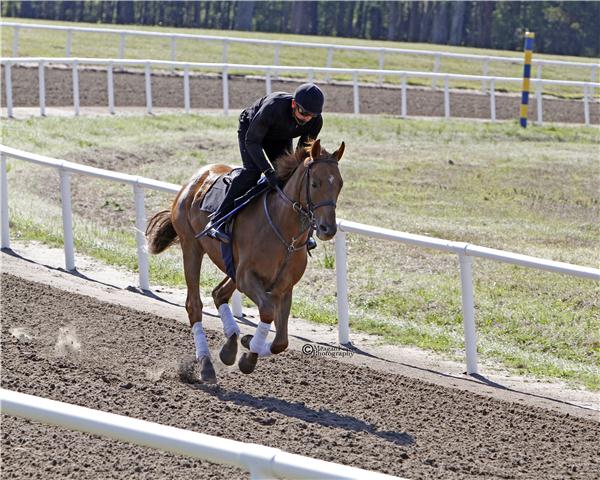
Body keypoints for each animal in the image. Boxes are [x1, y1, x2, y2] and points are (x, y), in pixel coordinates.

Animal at [144, 139, 346, 382]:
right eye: (315, 184)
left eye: (340, 184)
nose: (328, 229)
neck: (285, 234)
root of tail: (194, 179)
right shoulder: (247, 277)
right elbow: (267, 311)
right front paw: (248, 356)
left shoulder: (284, 287)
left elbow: (281, 342)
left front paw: (248, 344)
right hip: (191, 247)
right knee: (194, 305)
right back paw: (206, 364)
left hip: (232, 266)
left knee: (219, 293)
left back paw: (230, 347)